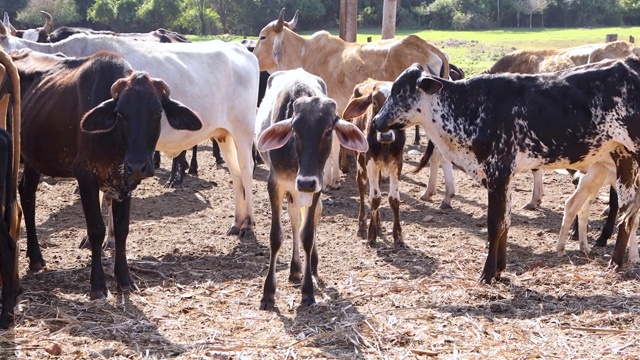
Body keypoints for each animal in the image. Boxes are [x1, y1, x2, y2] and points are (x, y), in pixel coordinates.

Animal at [1, 22, 260, 238]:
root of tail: (240, 50)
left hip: (243, 130)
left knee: (247, 169)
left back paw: (248, 225)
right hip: (224, 134)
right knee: (235, 172)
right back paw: (237, 222)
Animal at [254, 68, 364, 310]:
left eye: (328, 130)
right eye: (295, 130)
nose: (305, 182)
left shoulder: (316, 186)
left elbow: (307, 233)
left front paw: (307, 291)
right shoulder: (275, 183)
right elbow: (276, 236)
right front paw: (268, 293)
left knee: (308, 219)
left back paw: (309, 265)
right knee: (295, 219)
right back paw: (295, 269)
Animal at [344, 79, 404, 248]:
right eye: (374, 102)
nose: (386, 135)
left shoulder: (397, 163)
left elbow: (393, 199)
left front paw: (398, 235)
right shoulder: (370, 162)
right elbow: (374, 199)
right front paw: (371, 235)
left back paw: (378, 224)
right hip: (360, 160)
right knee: (363, 187)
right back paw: (363, 225)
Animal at [372, 59, 640, 284]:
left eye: (400, 91)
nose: (375, 121)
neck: (469, 107)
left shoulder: (498, 172)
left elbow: (495, 223)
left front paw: (488, 273)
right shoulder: (505, 176)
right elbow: (506, 222)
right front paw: (500, 269)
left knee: (627, 214)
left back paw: (616, 262)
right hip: (624, 160)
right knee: (629, 214)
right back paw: (618, 262)